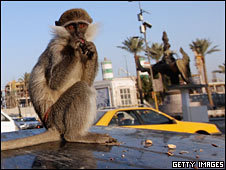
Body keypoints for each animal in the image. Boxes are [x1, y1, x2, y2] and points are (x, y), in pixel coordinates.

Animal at [1, 8, 118, 151]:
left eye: (82, 25)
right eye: (71, 26)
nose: (78, 34)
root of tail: (51, 125)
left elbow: (87, 80)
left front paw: (93, 50)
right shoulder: (55, 49)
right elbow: (54, 83)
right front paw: (74, 49)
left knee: (86, 86)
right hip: (57, 115)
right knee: (83, 88)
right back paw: (75, 135)